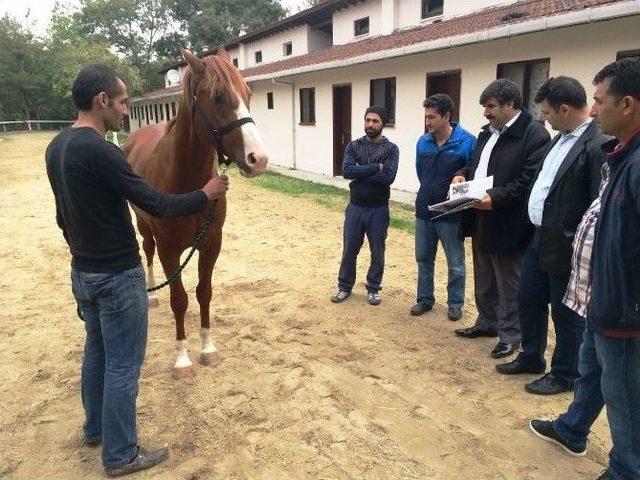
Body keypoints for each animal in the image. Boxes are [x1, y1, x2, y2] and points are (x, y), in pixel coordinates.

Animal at [124, 49, 268, 378]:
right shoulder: (169, 250)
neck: (188, 185)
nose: (259, 159)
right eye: (218, 97)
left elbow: (204, 292)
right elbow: (179, 300)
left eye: (248, 94)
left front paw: (208, 348)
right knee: (147, 252)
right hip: (144, 227)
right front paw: (182, 359)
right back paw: (152, 295)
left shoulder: (211, 244)